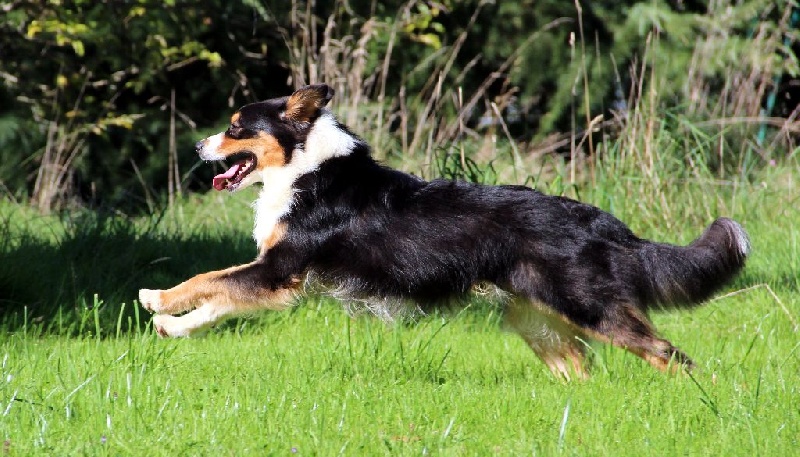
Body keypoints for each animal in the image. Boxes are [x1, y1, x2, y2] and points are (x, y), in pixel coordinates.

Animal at [139, 84, 749, 379]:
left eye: (236, 126)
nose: (198, 146)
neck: (305, 167)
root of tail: (604, 221)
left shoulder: (278, 271)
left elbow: (207, 279)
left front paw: (157, 298)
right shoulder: (278, 281)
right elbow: (217, 302)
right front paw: (172, 327)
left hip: (590, 307)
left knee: (671, 355)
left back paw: (714, 403)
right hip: (537, 318)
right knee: (583, 371)